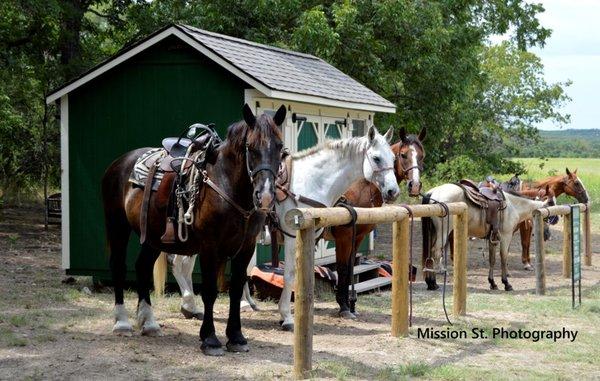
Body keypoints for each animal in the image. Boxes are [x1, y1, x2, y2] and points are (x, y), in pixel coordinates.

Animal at [101, 103, 286, 354]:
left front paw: (236, 337)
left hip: (153, 237)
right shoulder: (210, 246)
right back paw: (121, 322)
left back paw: (149, 323)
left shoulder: (246, 248)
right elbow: (209, 291)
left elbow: (236, 289)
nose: (265, 196)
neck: (226, 183)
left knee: (142, 267)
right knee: (119, 266)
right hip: (117, 225)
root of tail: (119, 163)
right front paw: (210, 338)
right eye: (251, 147)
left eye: (280, 147)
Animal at [326, 126, 424, 316]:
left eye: (421, 155)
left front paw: (348, 304)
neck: (360, 188)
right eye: (403, 155)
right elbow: (342, 268)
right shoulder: (344, 237)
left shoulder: (357, 237)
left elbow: (350, 268)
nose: (415, 186)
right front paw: (343, 306)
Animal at [422, 183, 552, 290]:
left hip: (433, 232)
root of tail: (433, 192)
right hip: (443, 232)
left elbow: (492, 260)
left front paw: (492, 283)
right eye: (546, 216)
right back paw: (433, 282)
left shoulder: (492, 238)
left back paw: (430, 283)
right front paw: (506, 283)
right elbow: (503, 258)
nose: (547, 234)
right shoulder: (505, 236)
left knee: (429, 253)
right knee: (435, 252)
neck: (513, 206)